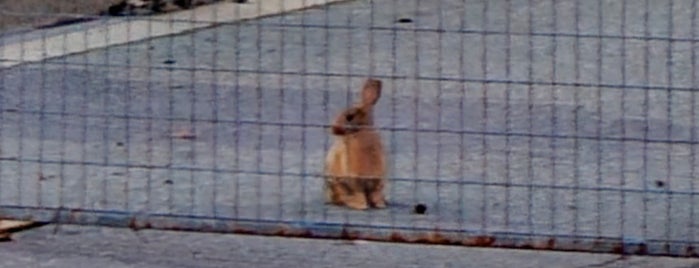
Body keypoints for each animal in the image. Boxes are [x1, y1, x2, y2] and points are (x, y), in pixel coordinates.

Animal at [324, 77, 388, 209]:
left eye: (350, 116)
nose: (334, 129)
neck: (360, 131)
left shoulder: (376, 177)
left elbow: (375, 193)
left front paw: (379, 205)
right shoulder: (354, 179)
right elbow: (359, 193)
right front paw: (361, 206)